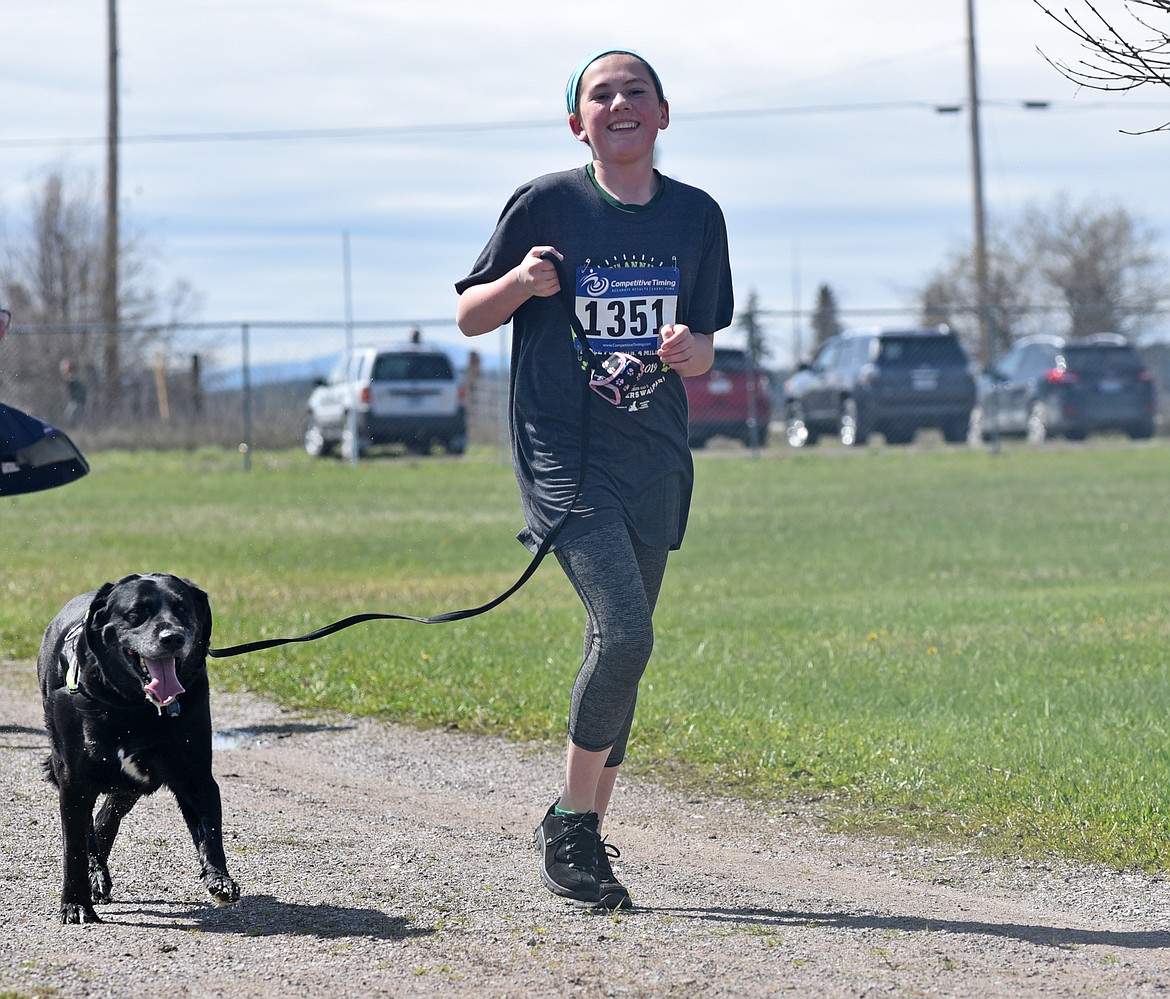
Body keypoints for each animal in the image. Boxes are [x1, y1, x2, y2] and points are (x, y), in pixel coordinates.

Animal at [37, 575, 242, 926]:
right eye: (136, 613)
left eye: (183, 609)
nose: (172, 637)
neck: (133, 707)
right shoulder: (74, 780)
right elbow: (73, 847)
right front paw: (75, 904)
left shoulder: (195, 775)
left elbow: (209, 828)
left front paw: (219, 880)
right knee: (88, 829)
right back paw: (94, 875)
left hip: (131, 785)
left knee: (106, 817)